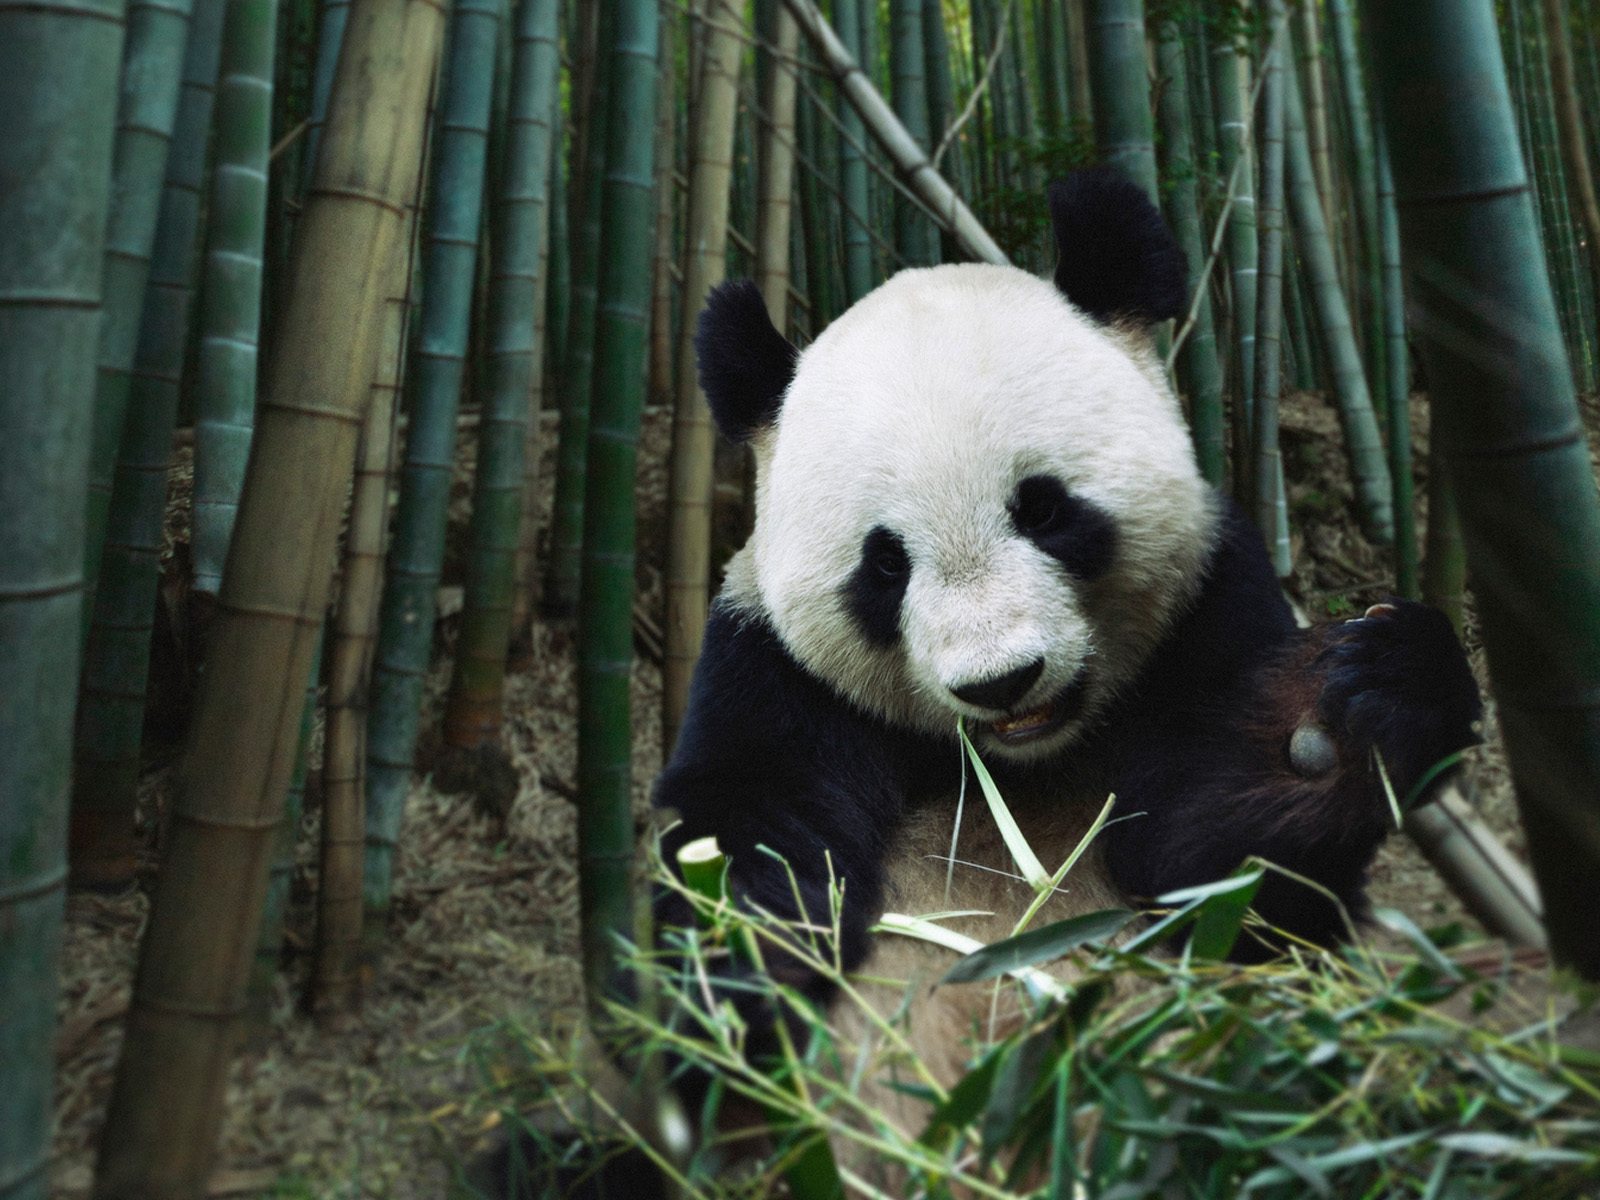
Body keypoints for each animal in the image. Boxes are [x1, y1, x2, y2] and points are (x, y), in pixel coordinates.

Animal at [653, 168, 1480, 1160]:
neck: (1022, 760)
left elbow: (1216, 874)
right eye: (884, 564)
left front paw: (1351, 715)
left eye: (1043, 509)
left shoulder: (1212, 604)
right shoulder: (768, 665)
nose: (1001, 681)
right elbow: (752, 829)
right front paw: (737, 970)